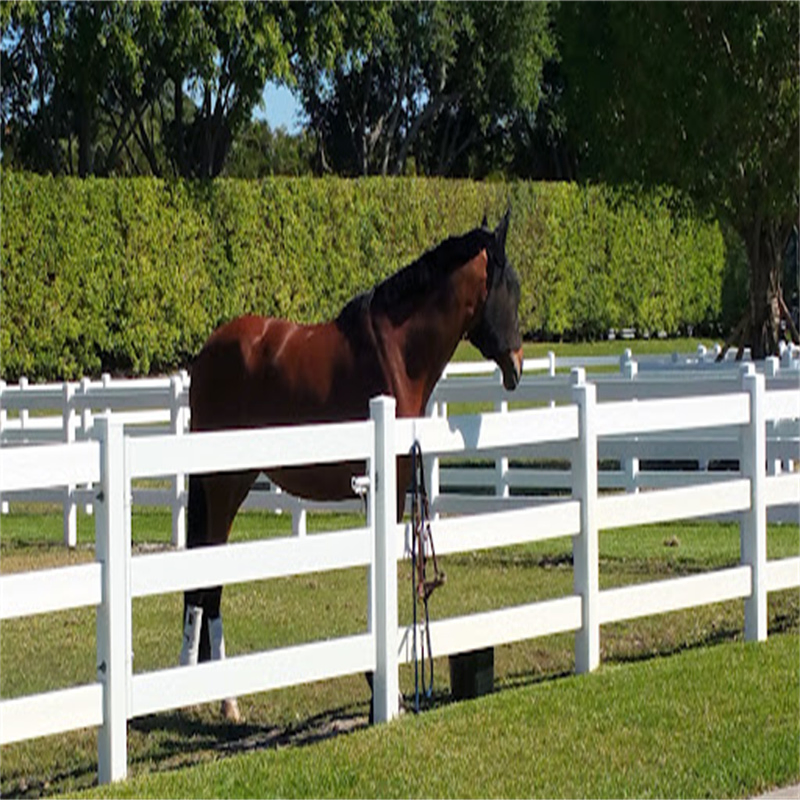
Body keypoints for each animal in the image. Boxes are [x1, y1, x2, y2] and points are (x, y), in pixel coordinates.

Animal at [179, 210, 523, 721]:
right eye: (510, 288)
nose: (517, 366)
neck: (397, 354)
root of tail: (205, 358)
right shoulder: (390, 487)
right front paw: (387, 689)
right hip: (224, 486)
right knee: (208, 577)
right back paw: (225, 700)